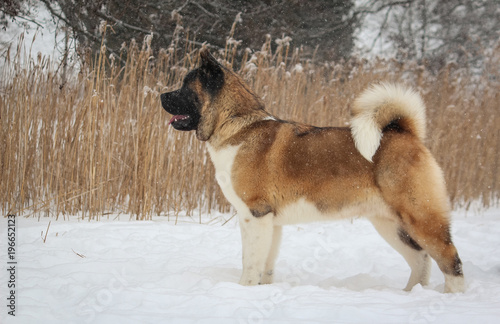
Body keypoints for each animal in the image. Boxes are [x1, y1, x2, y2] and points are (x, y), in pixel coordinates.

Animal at [160, 48, 464, 294]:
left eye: (185, 87)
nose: (161, 94)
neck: (236, 124)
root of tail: (405, 132)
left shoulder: (255, 215)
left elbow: (251, 261)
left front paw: (243, 290)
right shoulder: (271, 222)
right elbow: (266, 264)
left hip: (421, 218)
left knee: (450, 259)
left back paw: (451, 297)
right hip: (390, 224)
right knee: (420, 259)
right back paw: (411, 294)